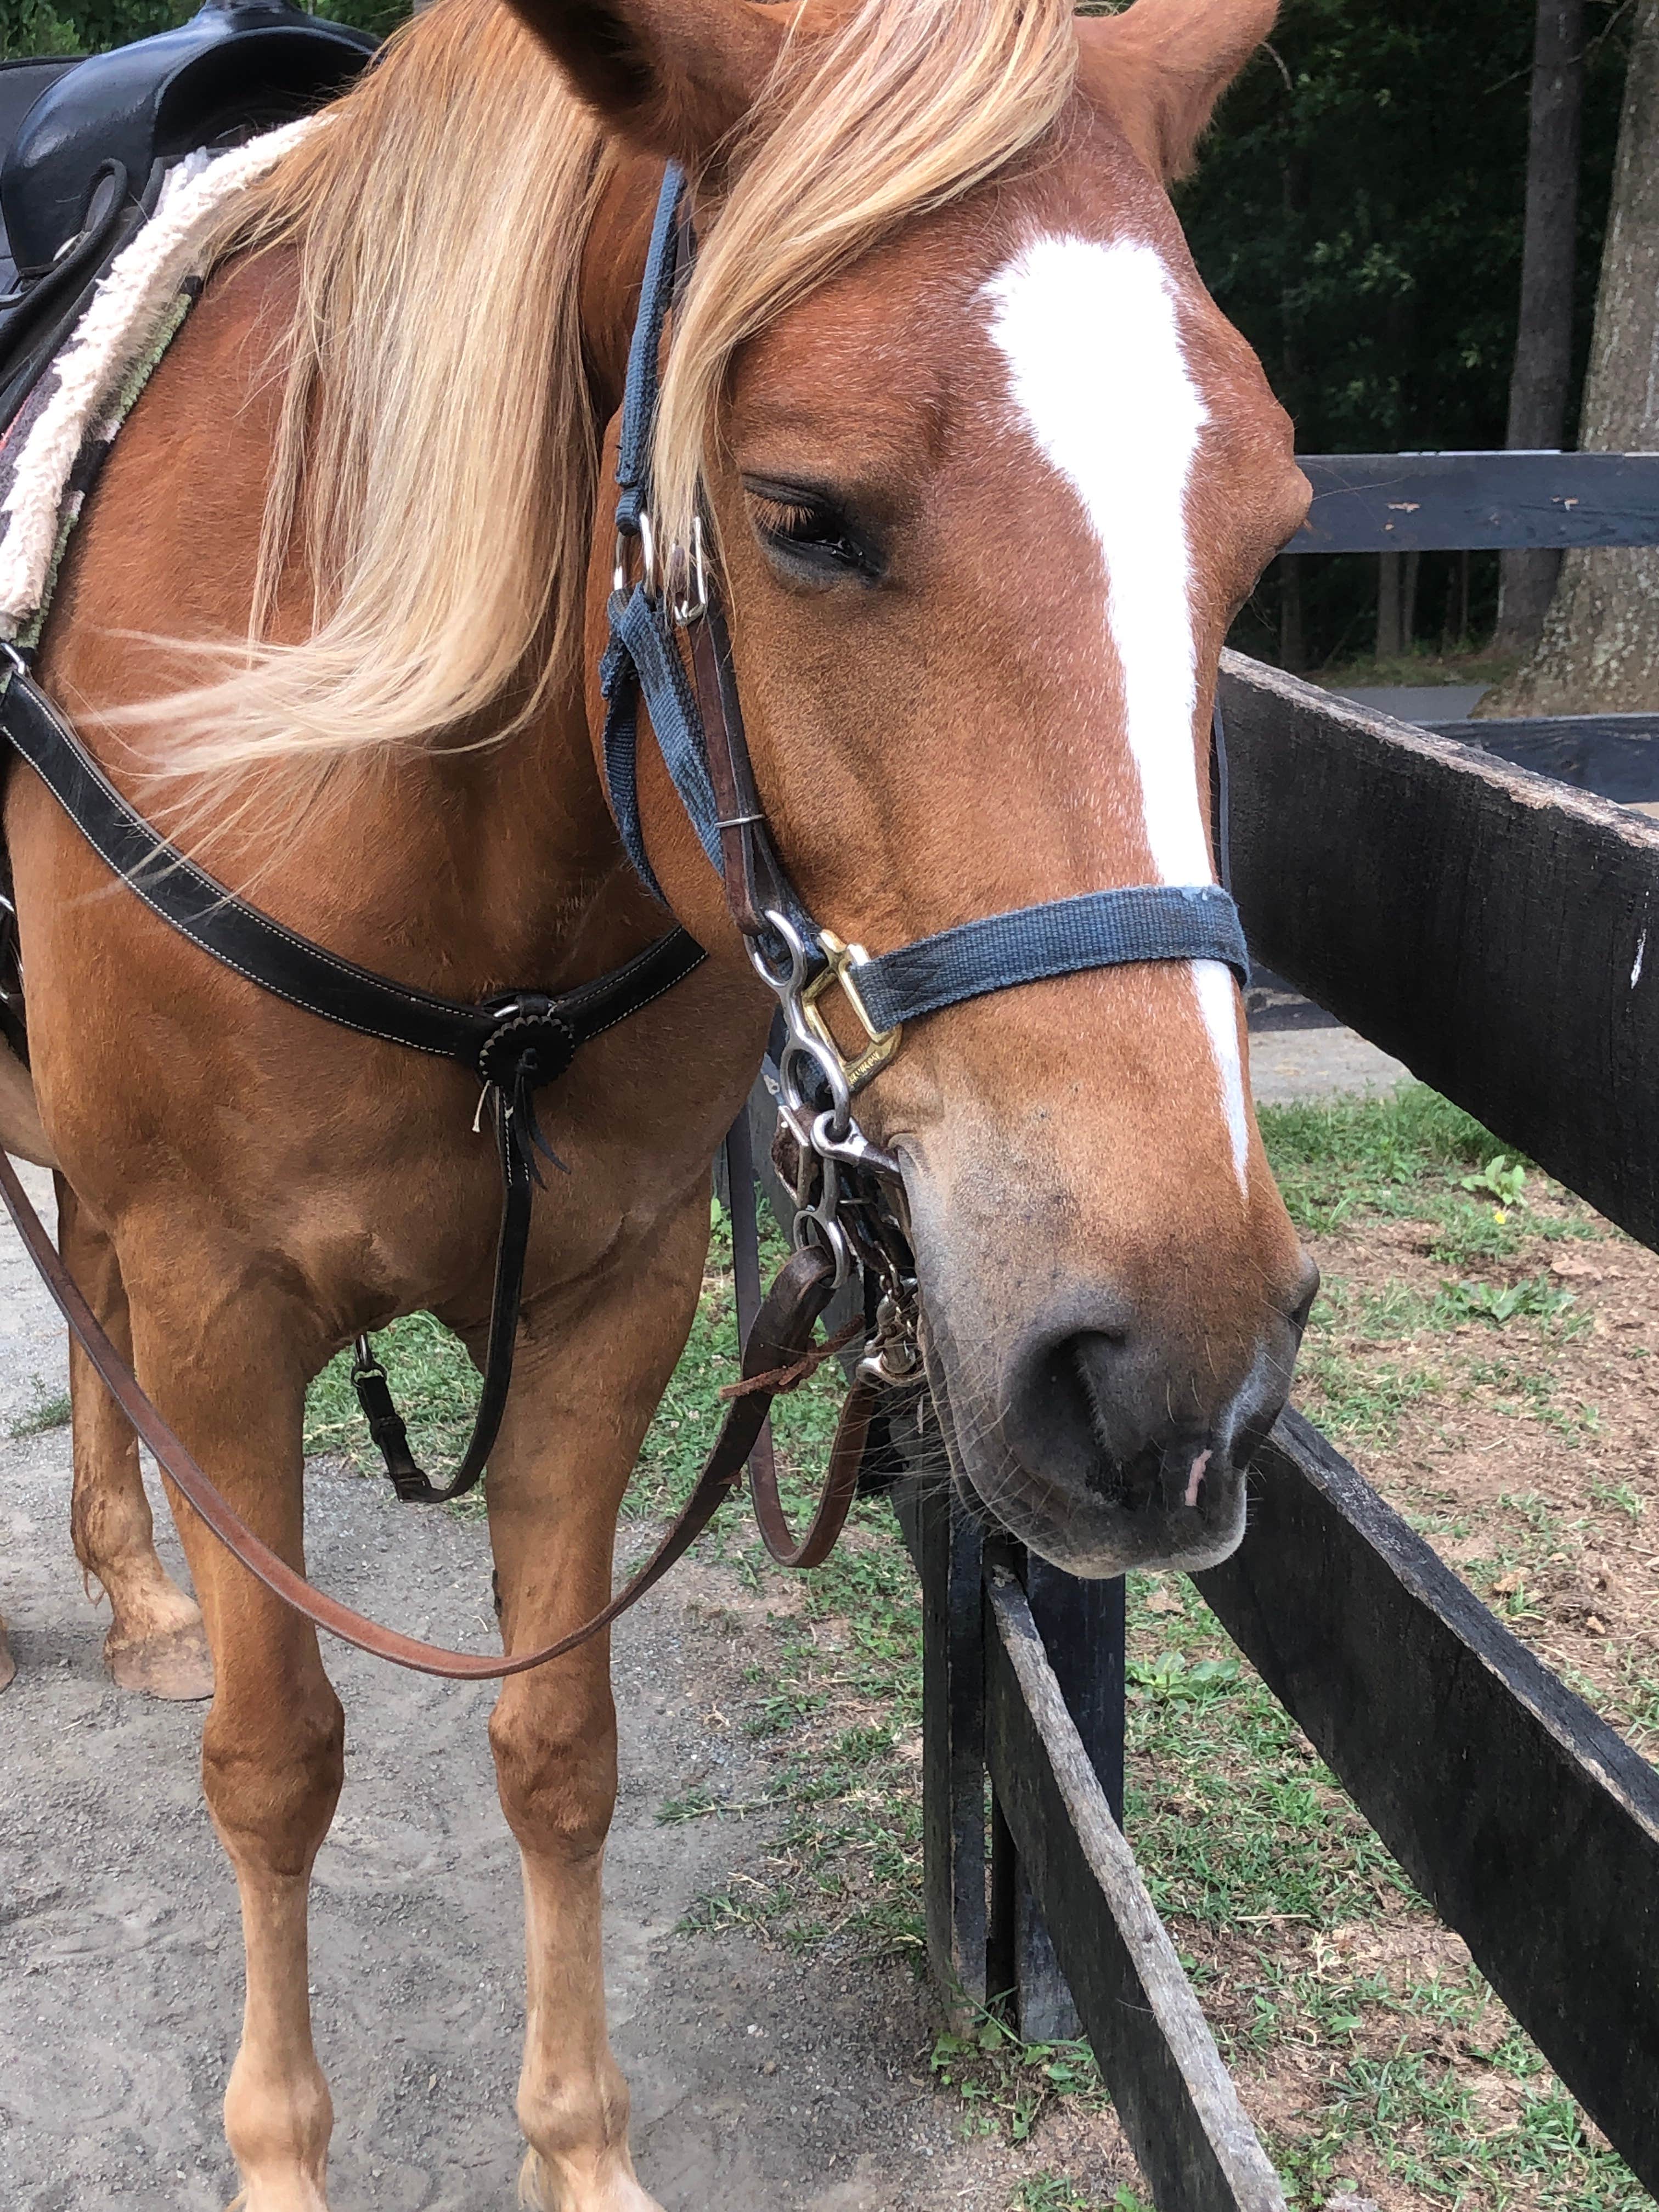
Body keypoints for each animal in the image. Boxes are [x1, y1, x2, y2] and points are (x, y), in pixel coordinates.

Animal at [0, 0, 1315, 2200]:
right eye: (800, 511)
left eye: (1264, 524)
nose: (1172, 1364)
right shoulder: (219, 1311)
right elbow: (277, 1766)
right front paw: (277, 2157)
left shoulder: (605, 1301)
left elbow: (556, 1749)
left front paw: (581, 2153)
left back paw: (136, 1589)